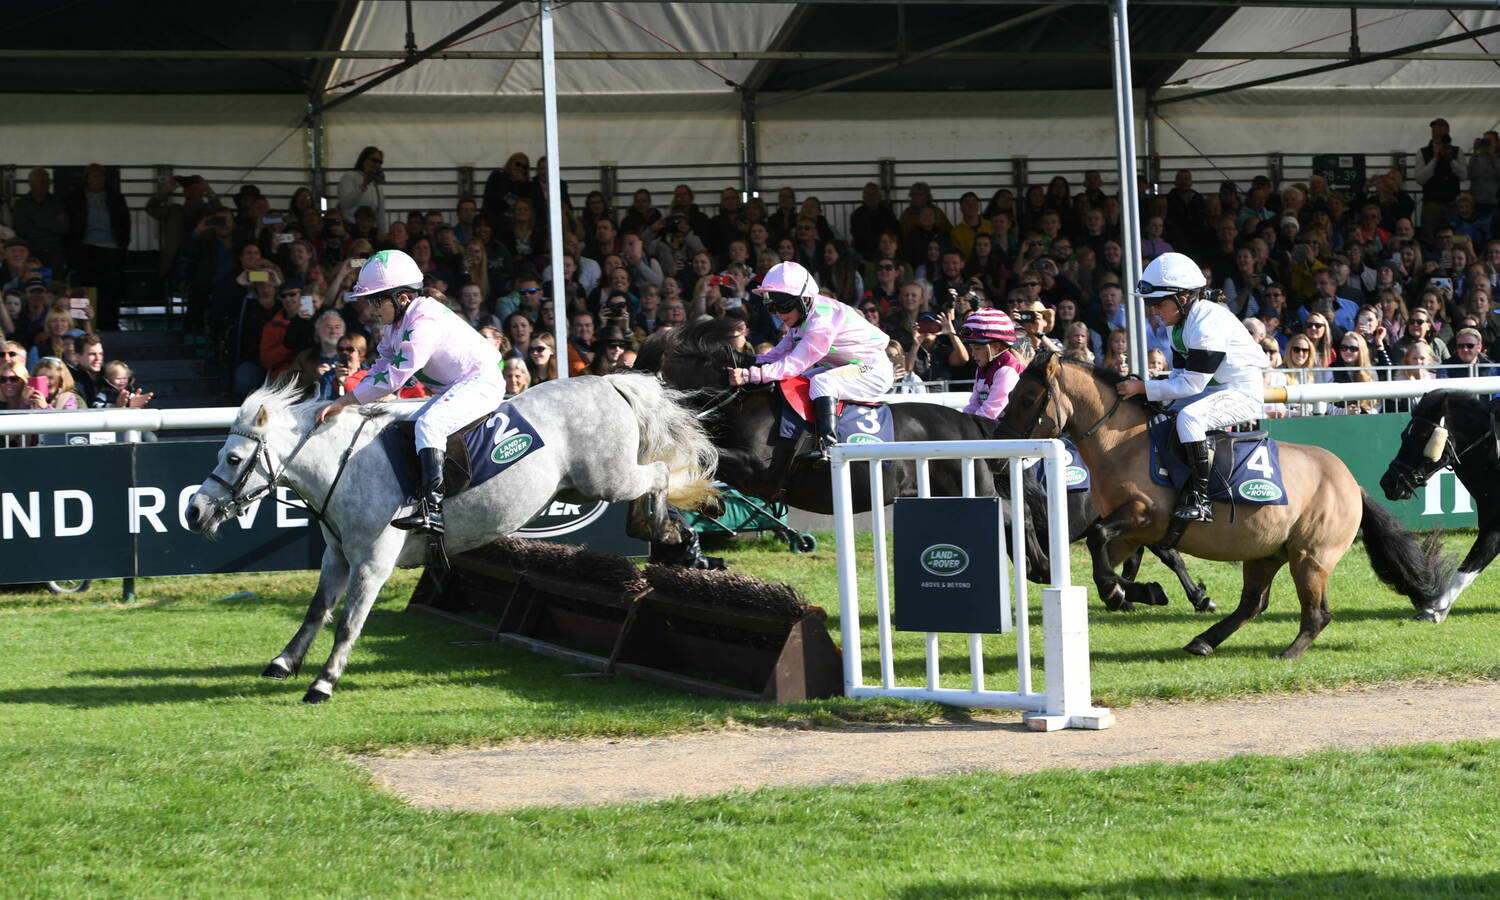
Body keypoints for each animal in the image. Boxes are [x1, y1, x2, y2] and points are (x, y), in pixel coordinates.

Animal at [184, 372, 717, 702]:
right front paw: (284, 661)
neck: (342, 466)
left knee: (656, 475)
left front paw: (323, 683)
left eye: (233, 458)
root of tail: (607, 381)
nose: (194, 511)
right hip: (585, 484)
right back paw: (673, 535)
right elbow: (317, 612)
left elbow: (349, 624)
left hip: (607, 478)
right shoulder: (337, 557)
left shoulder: (372, 564)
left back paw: (663, 529)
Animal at [1380, 390, 1500, 621]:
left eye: (1421, 436)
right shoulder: (1491, 525)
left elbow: (1466, 570)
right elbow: (1467, 567)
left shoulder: (1495, 529)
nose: (1389, 483)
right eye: (1404, 435)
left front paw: (1435, 609)